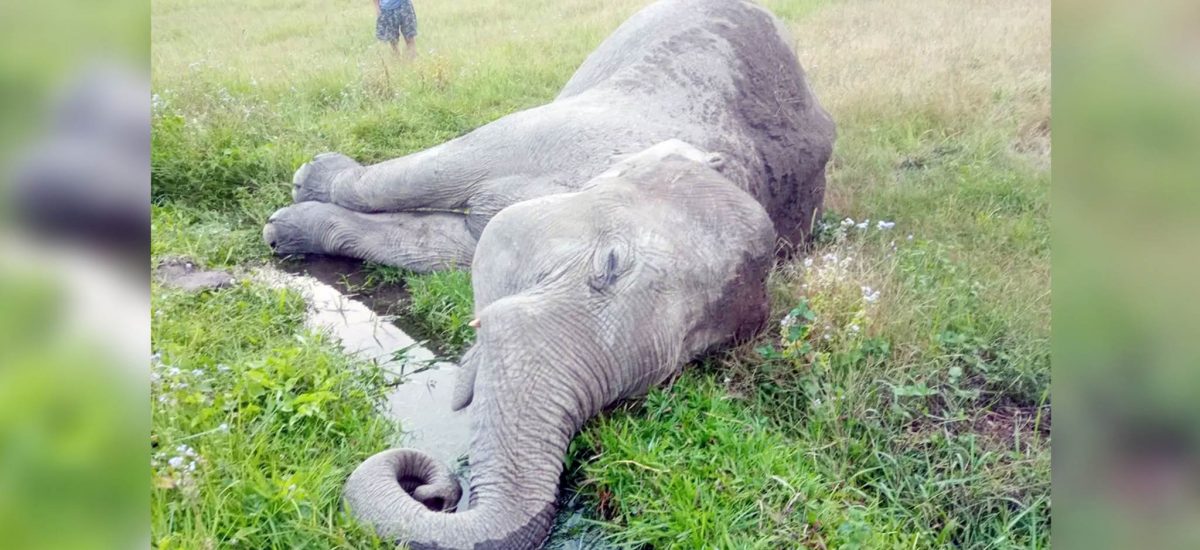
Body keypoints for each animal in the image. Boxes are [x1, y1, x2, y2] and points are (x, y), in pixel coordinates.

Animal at [262, 0, 834, 548]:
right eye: (610, 265)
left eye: (666, 375)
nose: (436, 489)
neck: (737, 165)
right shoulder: (571, 131)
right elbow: (433, 172)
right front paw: (304, 187)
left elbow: (446, 248)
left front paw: (287, 227)